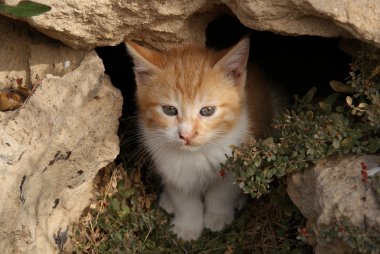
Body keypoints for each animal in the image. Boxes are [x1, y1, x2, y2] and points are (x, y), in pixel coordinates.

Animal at [124, 37, 280, 240]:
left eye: (207, 111)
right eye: (169, 110)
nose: (186, 135)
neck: (196, 156)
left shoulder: (234, 159)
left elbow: (222, 192)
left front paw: (217, 216)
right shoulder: (171, 169)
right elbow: (184, 200)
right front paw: (188, 226)